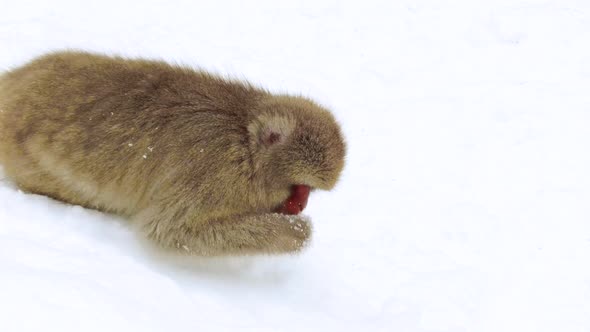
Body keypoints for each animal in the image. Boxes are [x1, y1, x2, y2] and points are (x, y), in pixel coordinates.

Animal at [0, 50, 346, 255]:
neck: (245, 144)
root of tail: (11, 85)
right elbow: (169, 229)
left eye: (308, 191)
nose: (300, 205)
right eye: (300, 187)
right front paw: (296, 232)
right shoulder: (217, 174)